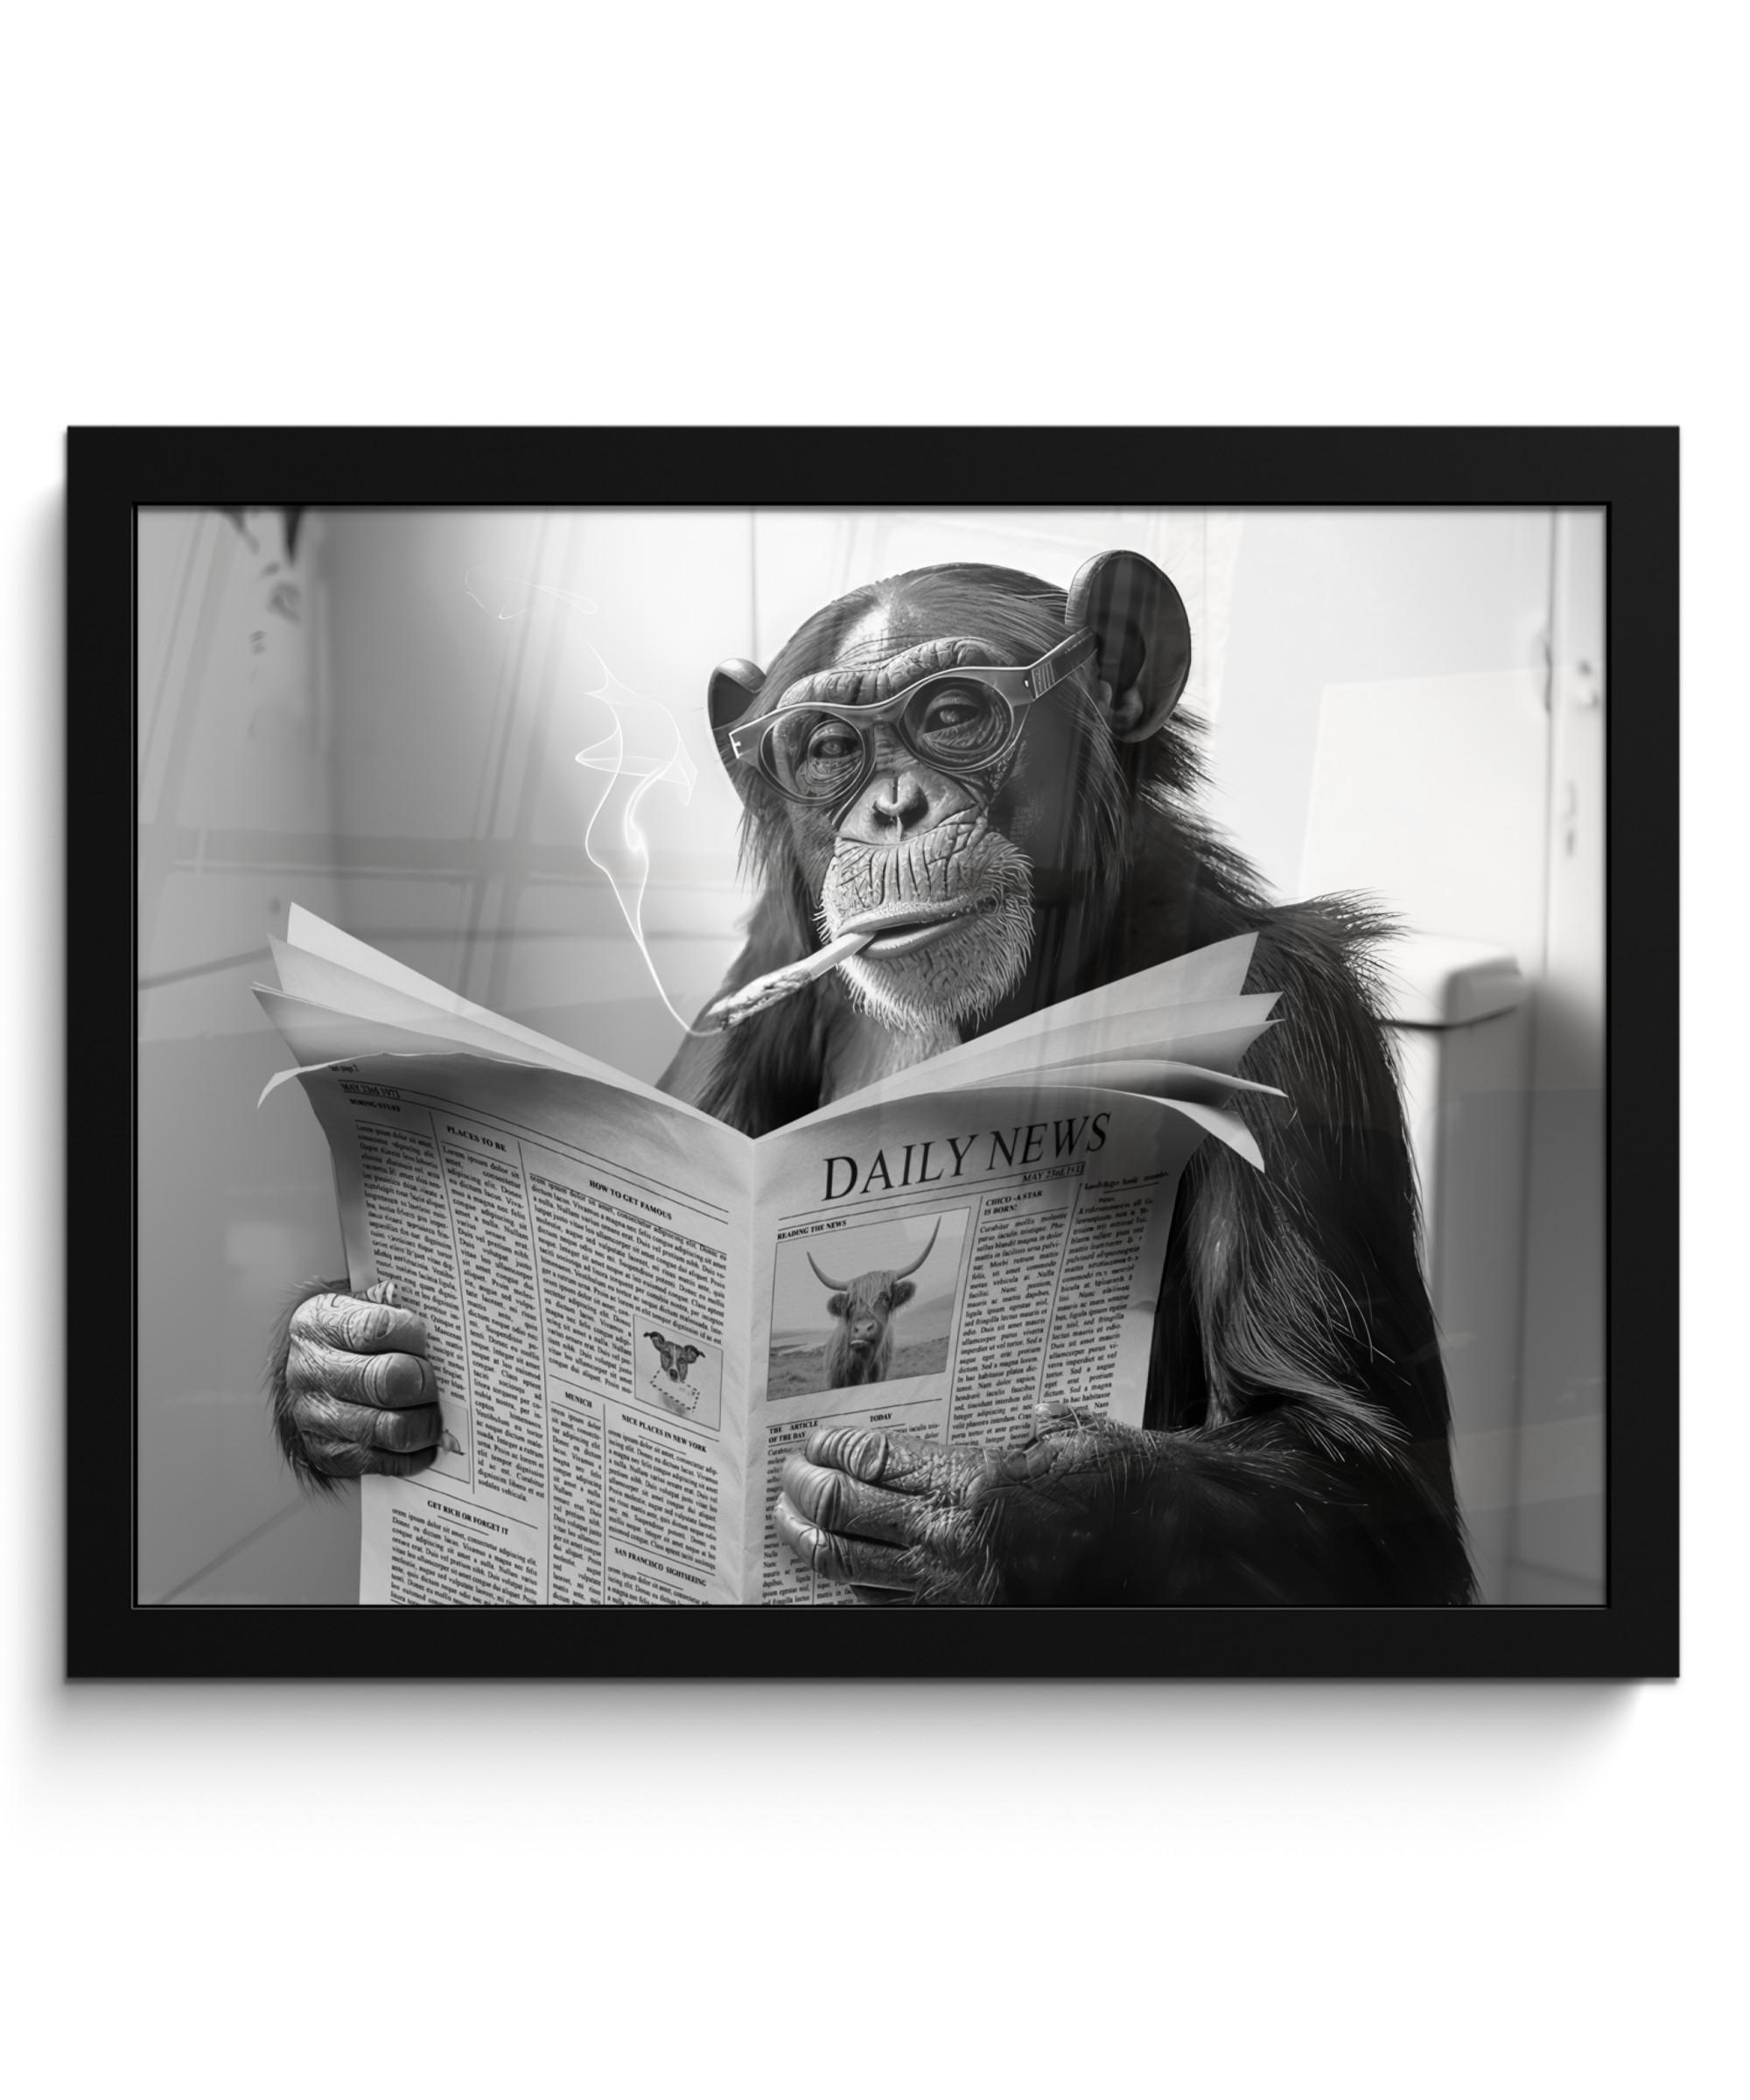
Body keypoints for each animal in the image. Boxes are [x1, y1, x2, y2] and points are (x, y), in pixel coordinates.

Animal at [273, 550, 1475, 1607]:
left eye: (951, 714)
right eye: (824, 748)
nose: (892, 807)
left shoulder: (1290, 1019)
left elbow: (1362, 1479)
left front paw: (963, 1507)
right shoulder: (752, 976)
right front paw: (344, 1368)